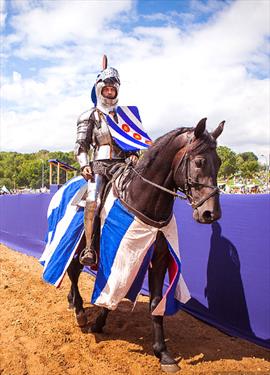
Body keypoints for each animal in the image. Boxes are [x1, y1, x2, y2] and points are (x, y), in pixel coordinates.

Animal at [67, 117, 224, 374]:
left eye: (219, 162)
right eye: (199, 162)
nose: (211, 213)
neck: (141, 198)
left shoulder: (157, 260)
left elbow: (155, 303)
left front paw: (163, 353)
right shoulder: (118, 254)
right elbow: (112, 289)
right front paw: (97, 322)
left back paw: (73, 304)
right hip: (78, 248)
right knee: (72, 271)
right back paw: (79, 313)